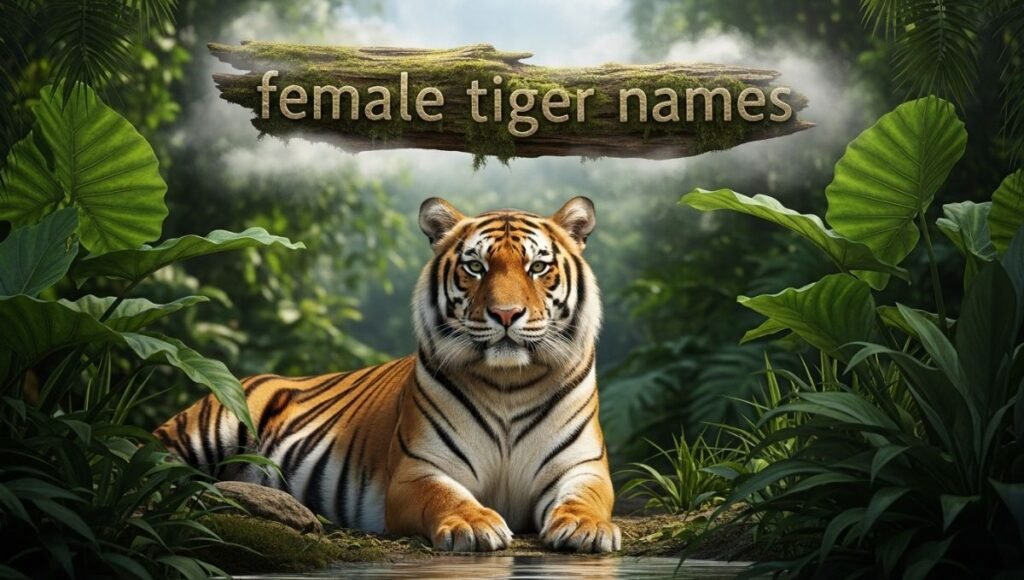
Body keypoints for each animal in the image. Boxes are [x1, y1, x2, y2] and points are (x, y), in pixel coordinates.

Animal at [154, 196, 620, 553]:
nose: (506, 314)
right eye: (476, 267)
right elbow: (447, 496)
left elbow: (586, 498)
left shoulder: (583, 466)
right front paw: (474, 524)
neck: (509, 383)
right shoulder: (418, 471)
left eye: (537, 267)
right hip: (210, 425)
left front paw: (587, 528)